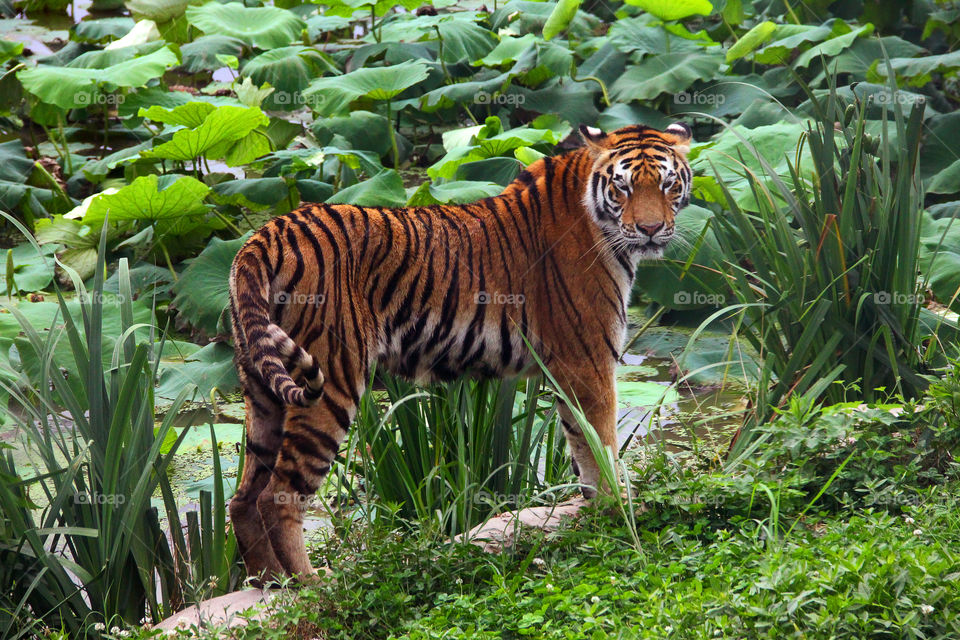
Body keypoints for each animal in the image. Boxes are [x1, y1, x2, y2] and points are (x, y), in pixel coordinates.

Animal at [229, 120, 692, 580]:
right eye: (623, 187)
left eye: (668, 184)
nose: (651, 229)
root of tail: (265, 235)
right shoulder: (588, 359)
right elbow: (602, 446)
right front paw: (620, 518)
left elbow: (582, 446)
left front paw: (598, 516)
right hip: (330, 380)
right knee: (278, 497)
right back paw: (310, 585)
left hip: (262, 388)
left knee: (243, 498)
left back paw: (270, 584)